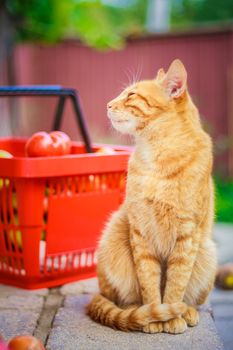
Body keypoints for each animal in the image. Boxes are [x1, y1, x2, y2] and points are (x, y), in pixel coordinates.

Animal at [87, 59, 217, 334]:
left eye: (131, 95)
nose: (108, 105)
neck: (157, 156)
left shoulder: (187, 236)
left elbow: (175, 285)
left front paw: (171, 316)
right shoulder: (141, 233)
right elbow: (149, 283)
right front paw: (154, 316)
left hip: (206, 252)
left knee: (191, 298)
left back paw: (187, 311)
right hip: (114, 238)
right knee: (122, 300)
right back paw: (137, 312)